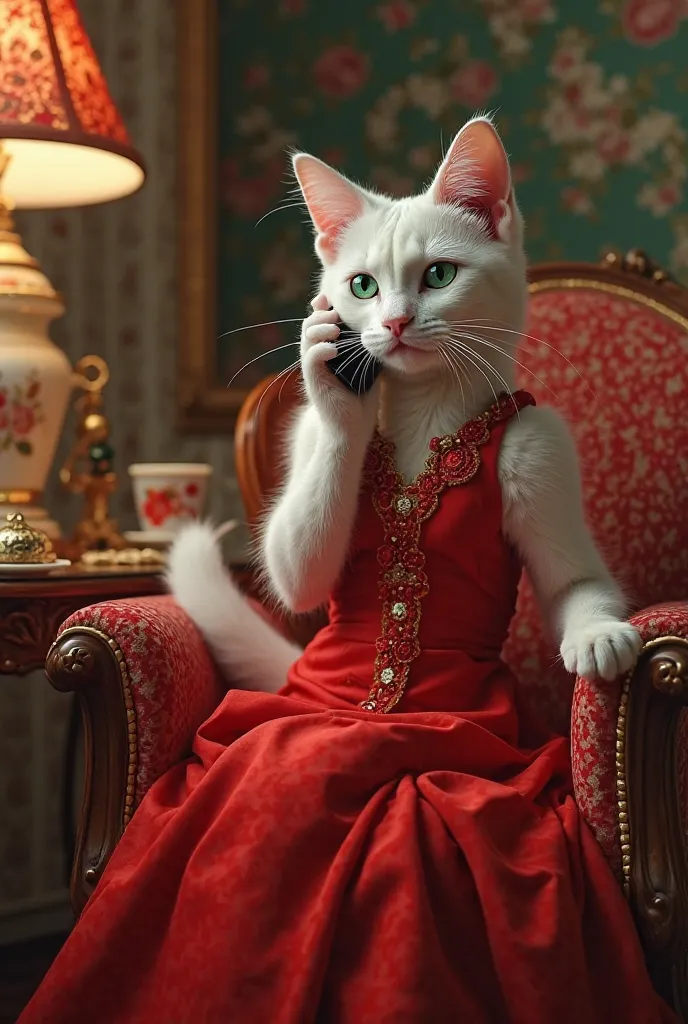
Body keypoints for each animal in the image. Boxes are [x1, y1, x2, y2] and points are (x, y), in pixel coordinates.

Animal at [168, 117, 642, 696]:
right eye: (362, 285)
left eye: (439, 275)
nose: (394, 321)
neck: (425, 408)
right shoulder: (310, 437)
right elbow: (297, 573)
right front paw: (328, 375)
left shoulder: (541, 445)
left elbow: (575, 580)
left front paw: (598, 635)